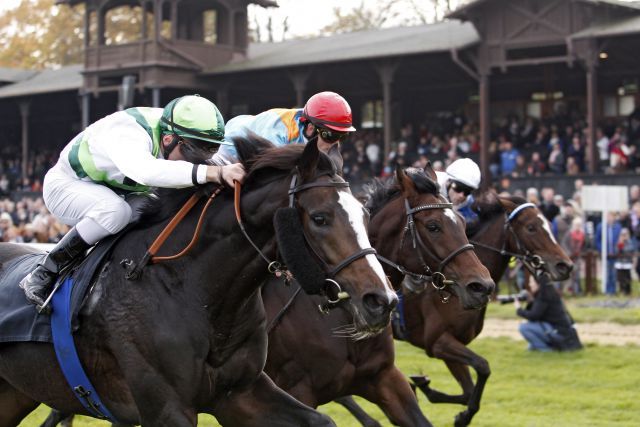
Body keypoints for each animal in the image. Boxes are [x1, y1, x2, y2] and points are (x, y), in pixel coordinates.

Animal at [0, 135, 398, 426]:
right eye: (319, 218)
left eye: (364, 213)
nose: (382, 300)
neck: (193, 290)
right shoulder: (167, 408)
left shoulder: (241, 393)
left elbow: (321, 420)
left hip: (17, 393)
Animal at [340, 191, 576, 427]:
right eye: (531, 227)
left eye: (548, 224)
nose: (565, 266)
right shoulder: (438, 342)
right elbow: (482, 365)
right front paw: (447, 404)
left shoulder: (452, 345)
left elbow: (468, 389)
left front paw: (440, 399)